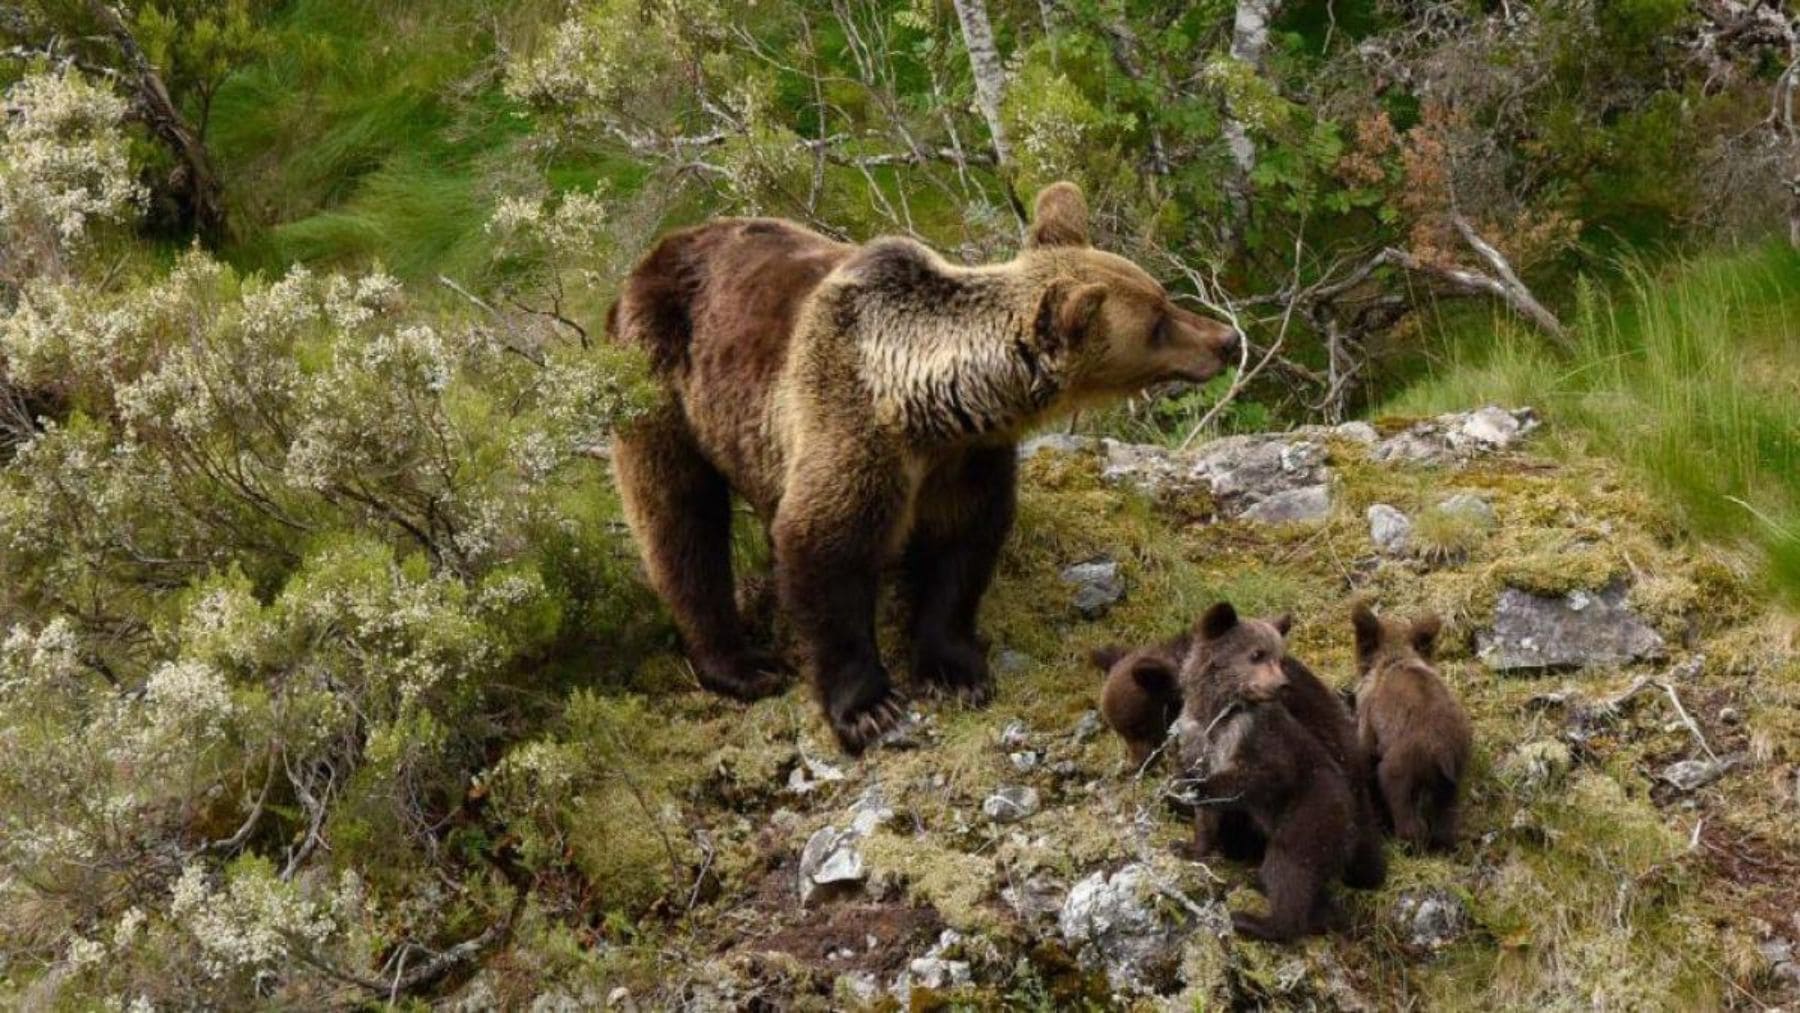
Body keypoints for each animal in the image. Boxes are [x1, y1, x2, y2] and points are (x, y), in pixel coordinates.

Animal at [607, 182, 1238, 751]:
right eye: (1157, 323)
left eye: (1161, 295)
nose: (1227, 339)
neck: (924, 403)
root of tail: (655, 251)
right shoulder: (851, 428)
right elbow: (824, 547)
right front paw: (868, 707)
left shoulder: (966, 459)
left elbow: (960, 551)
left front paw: (956, 671)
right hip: (659, 380)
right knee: (678, 516)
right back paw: (740, 663)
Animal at [1174, 602, 1368, 941]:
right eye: (1257, 654)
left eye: (1279, 655)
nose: (1281, 684)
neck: (1219, 712)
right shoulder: (1197, 739)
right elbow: (1206, 816)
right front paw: (1189, 846)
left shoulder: (1259, 742)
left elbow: (1262, 776)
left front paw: (1201, 788)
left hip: (1309, 815)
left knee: (1289, 867)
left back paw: (1254, 920)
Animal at [1350, 602, 1473, 852]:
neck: (1394, 658)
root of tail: (1442, 752)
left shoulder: (1369, 716)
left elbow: (1365, 751)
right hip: (1453, 774)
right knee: (1445, 815)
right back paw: (1443, 845)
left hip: (1404, 761)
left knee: (1399, 797)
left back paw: (1405, 845)